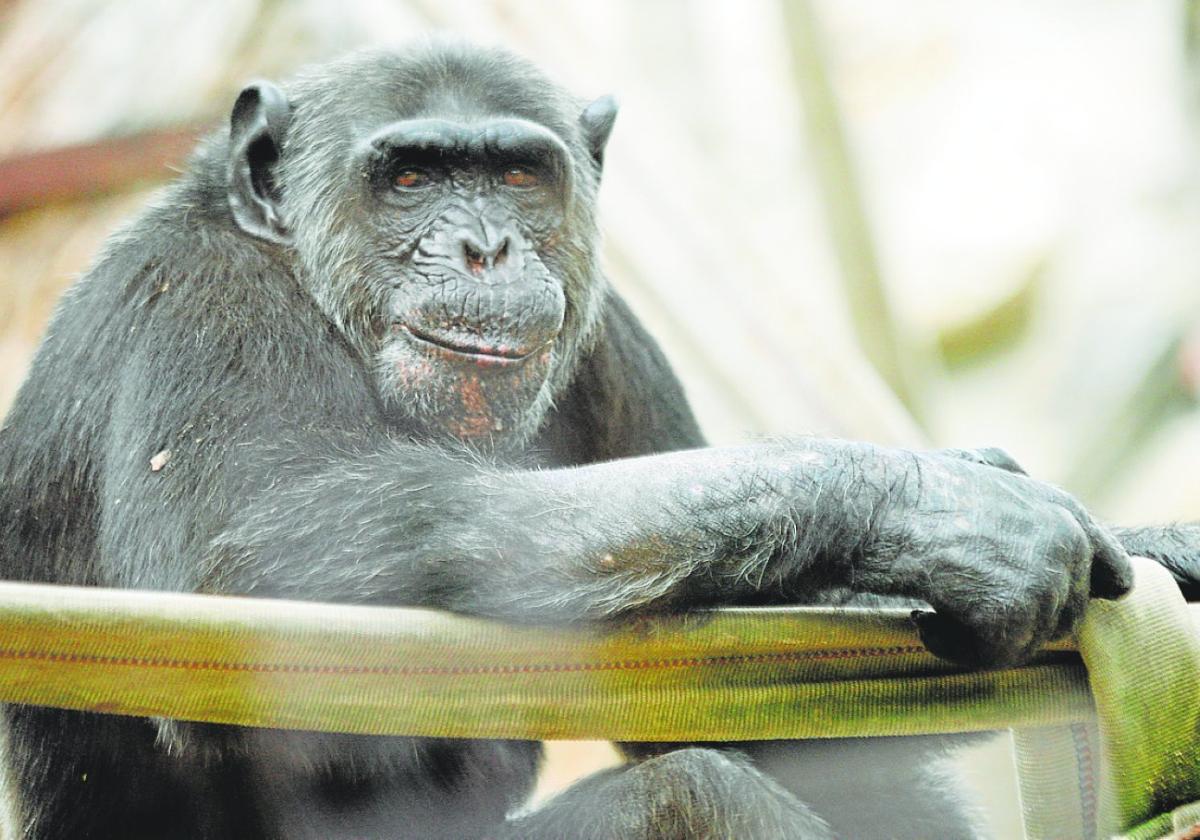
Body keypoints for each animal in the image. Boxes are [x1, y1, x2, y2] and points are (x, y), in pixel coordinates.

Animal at [2, 39, 1200, 840]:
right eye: (410, 177)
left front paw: (1150, 544)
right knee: (691, 797)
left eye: (518, 175)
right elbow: (251, 575)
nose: (484, 246)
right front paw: (946, 510)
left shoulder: (619, 339)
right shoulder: (194, 305)